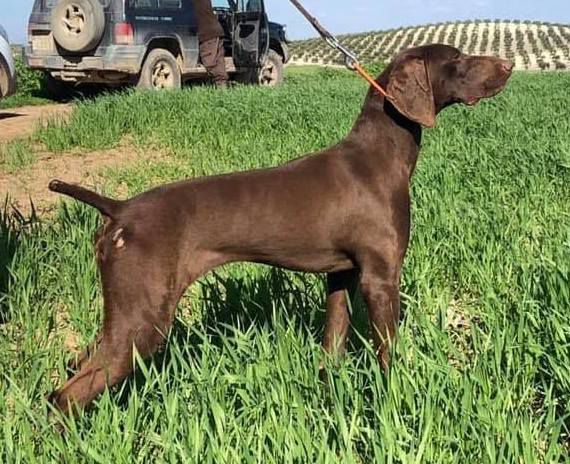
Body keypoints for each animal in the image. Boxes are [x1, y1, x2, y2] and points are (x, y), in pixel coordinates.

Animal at [47, 44, 510, 414]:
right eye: (457, 59)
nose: (507, 64)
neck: (378, 157)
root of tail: (119, 208)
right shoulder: (380, 277)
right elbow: (387, 354)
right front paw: (390, 400)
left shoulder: (341, 275)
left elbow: (332, 345)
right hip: (144, 318)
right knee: (66, 395)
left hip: (125, 314)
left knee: (76, 365)